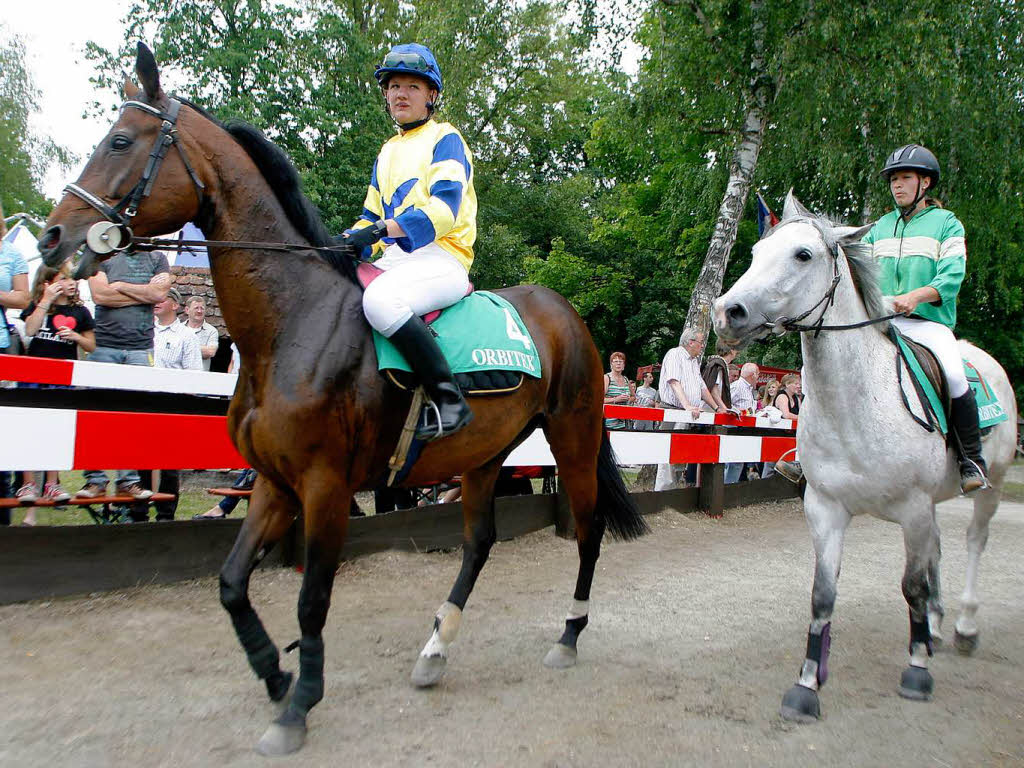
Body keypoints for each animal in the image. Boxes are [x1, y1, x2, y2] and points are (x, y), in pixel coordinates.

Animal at [41, 46, 647, 757]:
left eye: (120, 141)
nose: (52, 237)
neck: (289, 325)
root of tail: (564, 311)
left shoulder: (325, 486)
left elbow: (311, 600)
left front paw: (298, 703)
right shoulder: (275, 482)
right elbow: (232, 584)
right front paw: (277, 675)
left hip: (572, 434)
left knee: (587, 527)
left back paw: (568, 636)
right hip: (484, 456)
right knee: (479, 543)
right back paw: (435, 650)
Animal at [712, 192, 1015, 720]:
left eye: (803, 255)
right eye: (754, 253)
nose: (727, 312)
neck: (856, 404)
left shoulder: (913, 507)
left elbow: (911, 587)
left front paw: (916, 671)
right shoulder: (827, 508)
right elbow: (823, 594)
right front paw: (807, 685)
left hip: (987, 487)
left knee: (974, 543)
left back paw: (963, 628)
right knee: (937, 550)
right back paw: (935, 628)